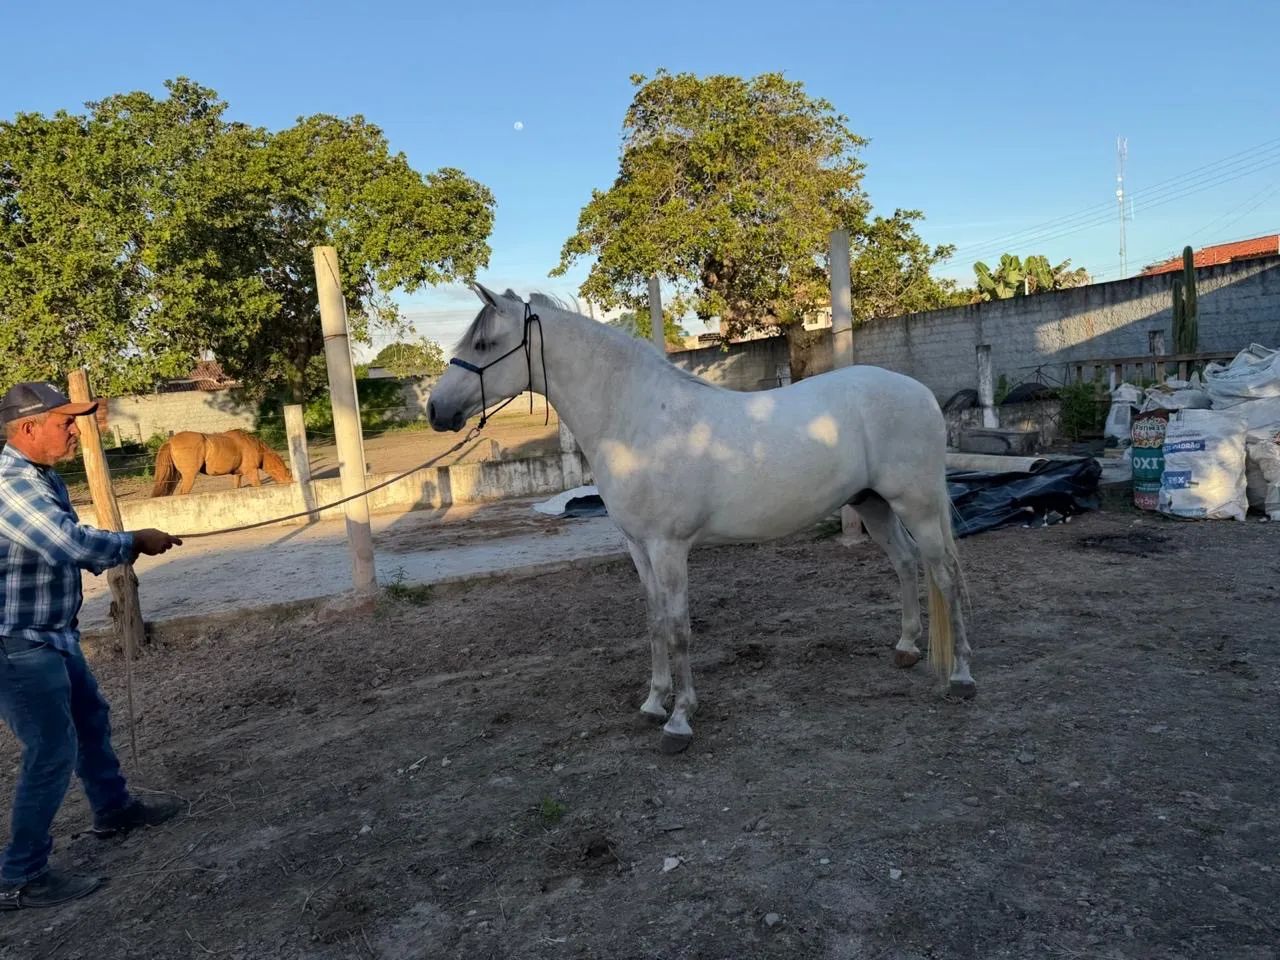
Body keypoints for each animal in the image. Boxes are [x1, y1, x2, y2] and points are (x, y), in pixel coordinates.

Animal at [150, 429, 293, 497]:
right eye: (291, 480)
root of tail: (170, 441)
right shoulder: (252, 471)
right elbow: (257, 486)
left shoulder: (237, 475)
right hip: (189, 476)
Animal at [427, 284, 974, 753]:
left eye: (483, 342)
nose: (435, 410)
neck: (637, 419)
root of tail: (921, 393)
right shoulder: (638, 547)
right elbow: (653, 621)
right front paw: (653, 702)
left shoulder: (669, 547)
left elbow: (678, 627)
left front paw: (679, 720)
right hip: (872, 503)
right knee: (906, 563)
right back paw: (906, 648)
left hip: (918, 505)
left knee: (945, 573)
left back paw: (961, 676)